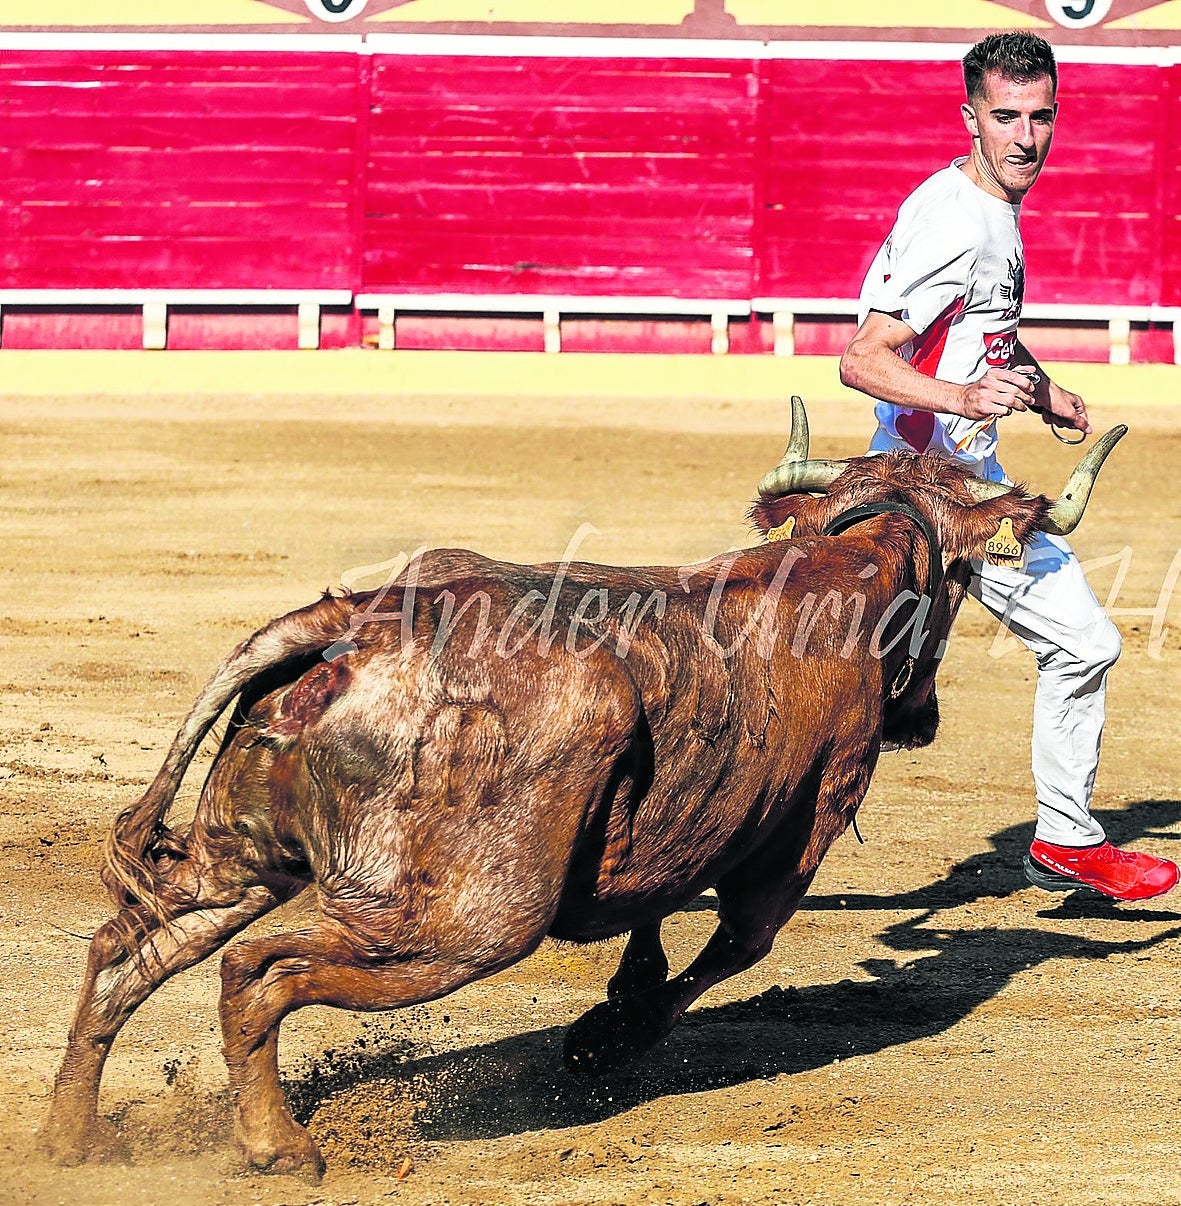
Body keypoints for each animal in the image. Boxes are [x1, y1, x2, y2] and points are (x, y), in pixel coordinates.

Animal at [39, 400, 1129, 1172]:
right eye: (963, 584)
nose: (921, 721)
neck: (839, 571)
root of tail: (354, 622)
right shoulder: (805, 826)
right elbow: (734, 944)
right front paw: (609, 1038)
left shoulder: (666, 831)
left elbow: (650, 912)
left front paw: (618, 1002)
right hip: (460, 926)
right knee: (255, 975)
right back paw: (279, 1148)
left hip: (244, 857)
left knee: (130, 950)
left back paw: (74, 1138)